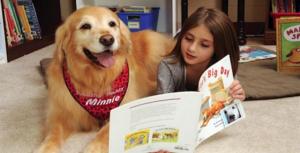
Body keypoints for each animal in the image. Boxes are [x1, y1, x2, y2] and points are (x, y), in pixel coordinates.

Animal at [35, 6, 173, 153]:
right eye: (85, 26)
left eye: (112, 24)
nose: (108, 39)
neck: (96, 78)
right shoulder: (60, 113)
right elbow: (53, 132)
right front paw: (45, 147)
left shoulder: (124, 105)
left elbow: (105, 131)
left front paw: (93, 147)